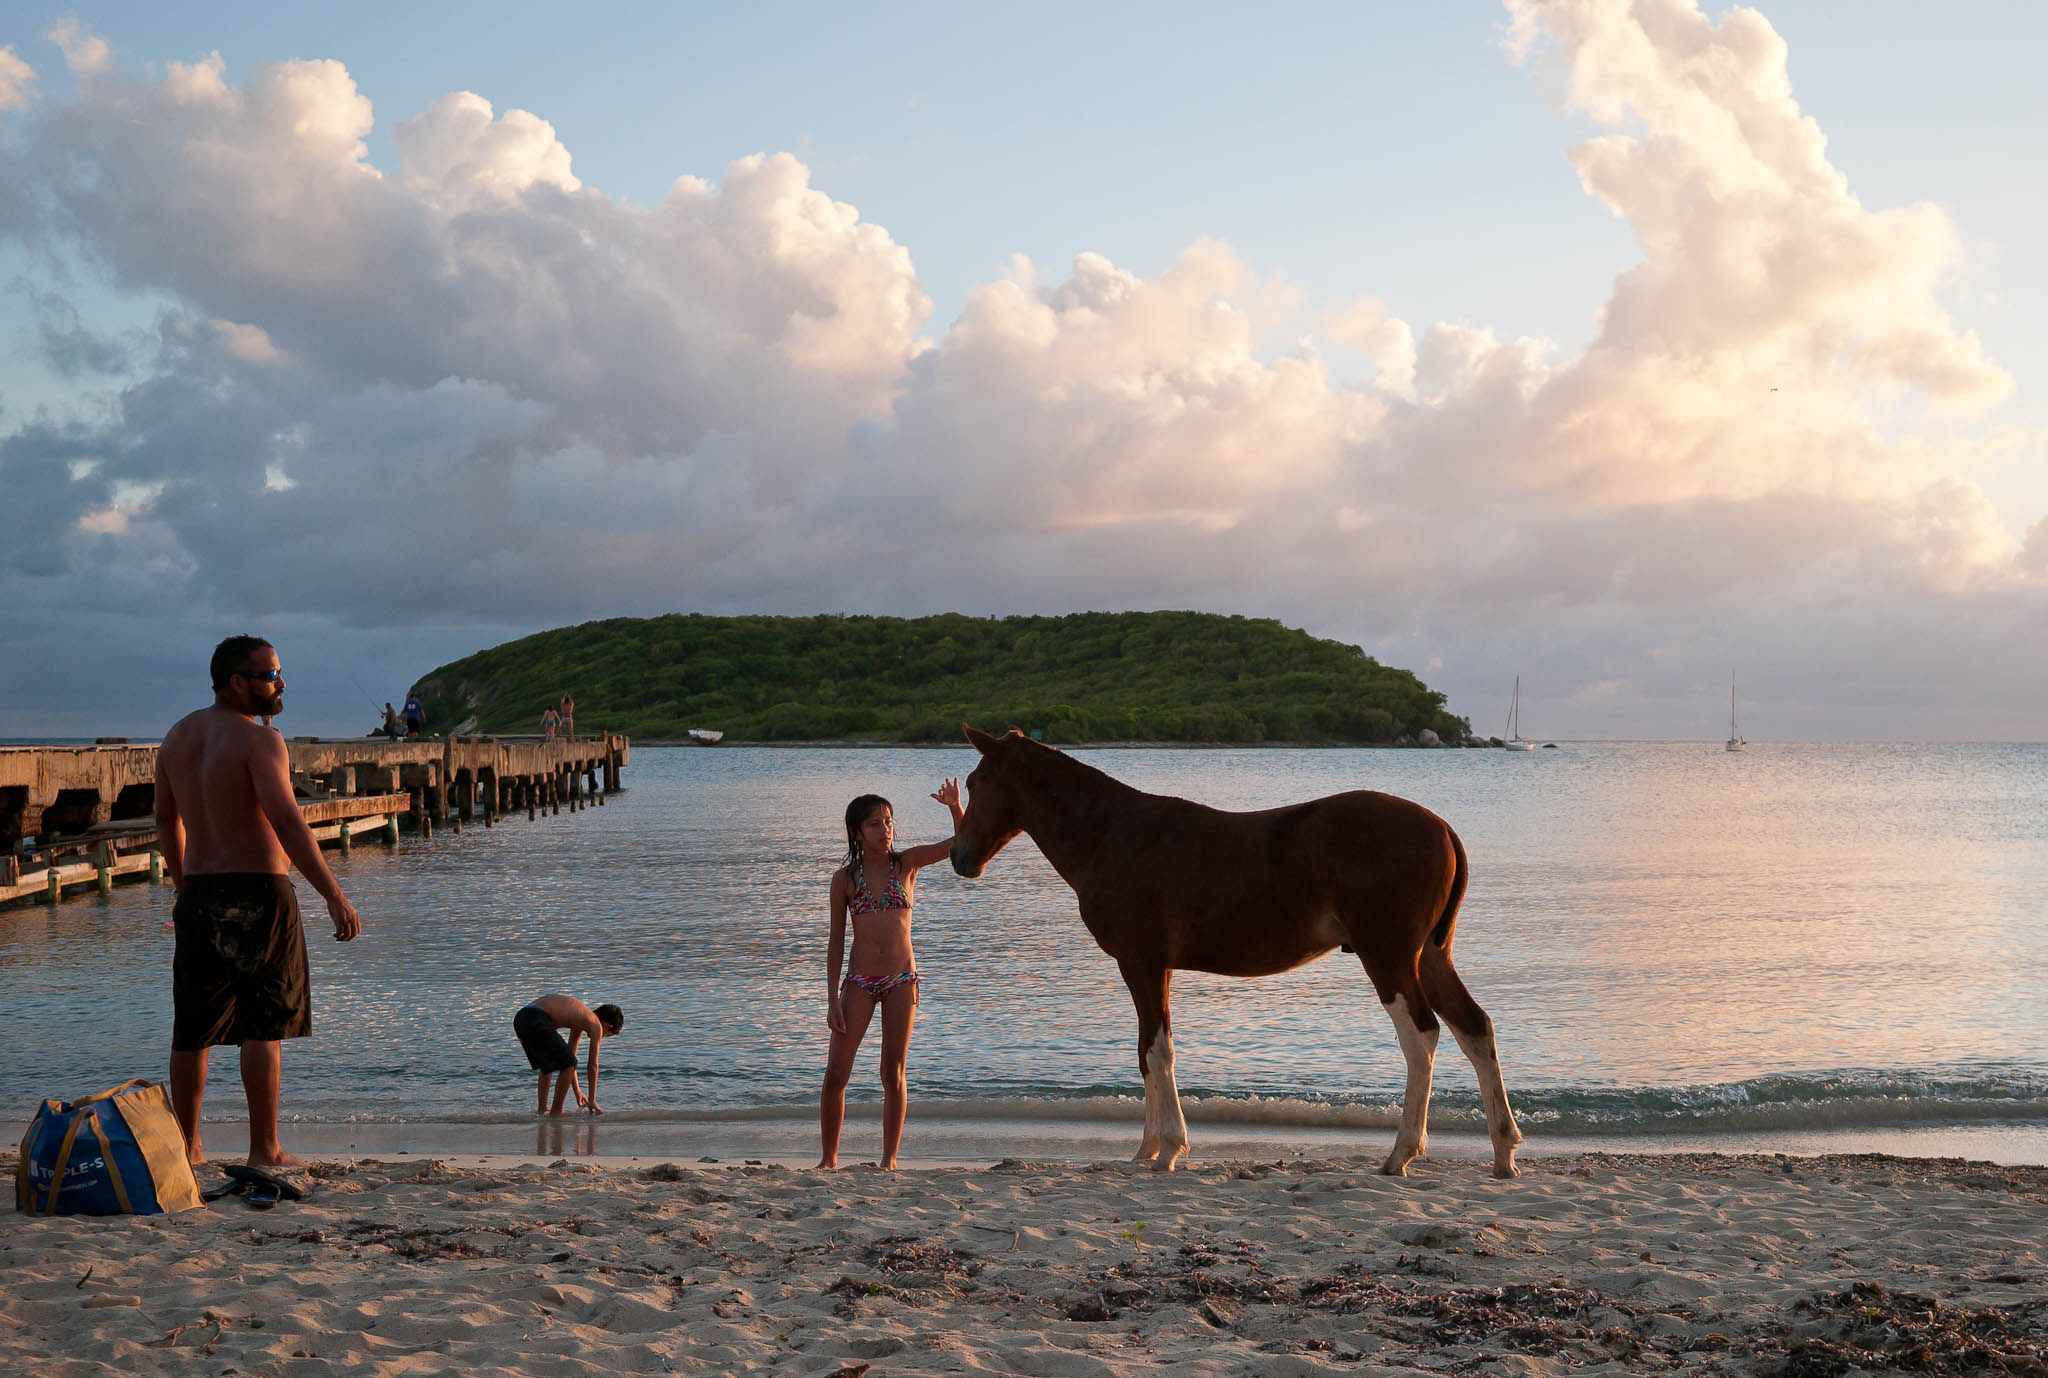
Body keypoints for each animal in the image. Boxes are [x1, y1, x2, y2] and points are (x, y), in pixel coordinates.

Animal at [946, 720, 1523, 1171]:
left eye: (974, 782)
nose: (959, 856)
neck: (1109, 835)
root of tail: (1441, 827)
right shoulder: (1153, 967)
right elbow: (1146, 1051)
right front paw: (1146, 1149)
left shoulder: (1141, 963)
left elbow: (1157, 1050)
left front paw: (1170, 1148)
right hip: (1430, 957)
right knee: (1475, 1028)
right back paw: (1503, 1151)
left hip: (1389, 957)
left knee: (1422, 1037)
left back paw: (1402, 1153)